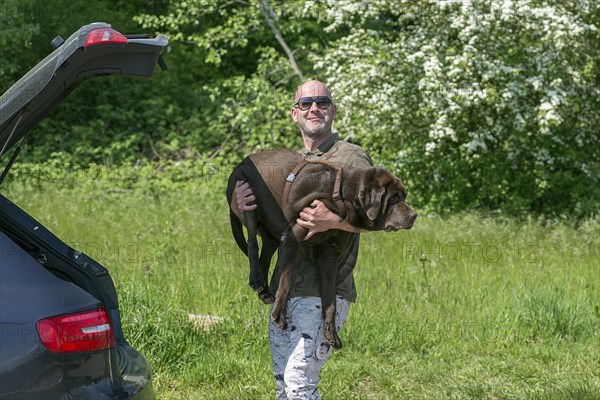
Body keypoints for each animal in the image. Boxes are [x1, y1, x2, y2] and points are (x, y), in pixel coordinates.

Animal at [225, 148, 418, 348]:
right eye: (394, 198)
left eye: (403, 196)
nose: (414, 216)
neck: (340, 194)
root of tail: (239, 165)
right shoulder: (292, 239)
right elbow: (286, 280)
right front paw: (279, 314)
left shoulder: (329, 256)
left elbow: (330, 299)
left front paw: (330, 332)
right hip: (248, 198)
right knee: (253, 245)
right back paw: (257, 279)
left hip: (271, 232)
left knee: (266, 252)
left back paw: (263, 290)